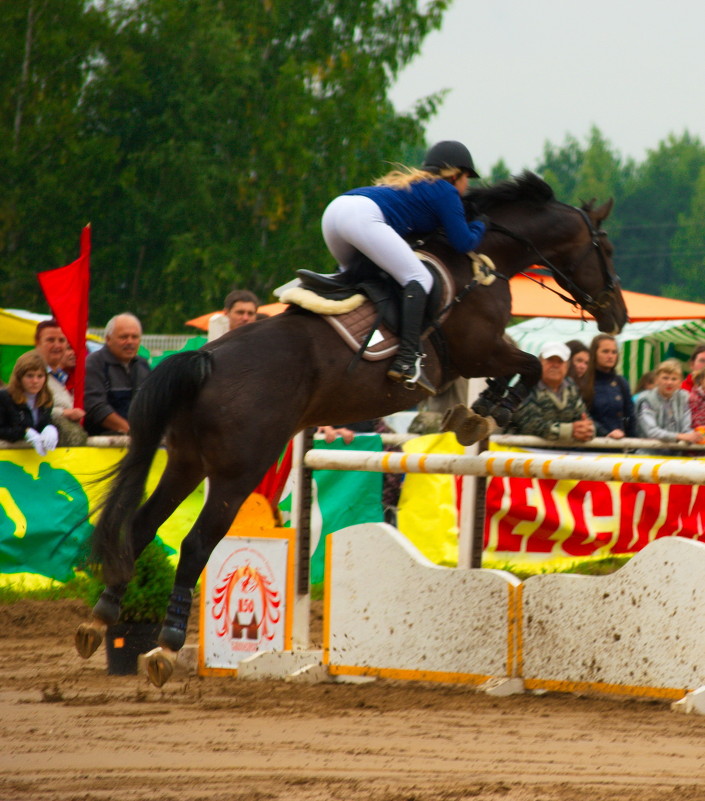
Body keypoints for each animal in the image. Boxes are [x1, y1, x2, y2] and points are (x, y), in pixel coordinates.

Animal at [75, 172, 628, 684]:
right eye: (605, 248)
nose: (618, 317)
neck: (481, 259)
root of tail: (205, 359)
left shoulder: (480, 355)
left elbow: (518, 370)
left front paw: (475, 412)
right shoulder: (480, 349)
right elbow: (529, 366)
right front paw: (486, 411)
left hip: (188, 462)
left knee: (142, 526)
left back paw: (100, 620)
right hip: (239, 471)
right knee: (194, 545)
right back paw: (165, 647)